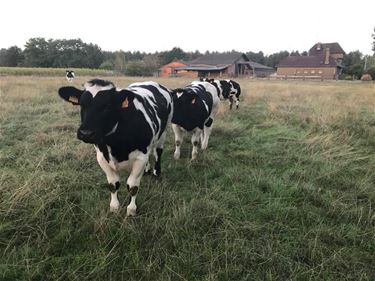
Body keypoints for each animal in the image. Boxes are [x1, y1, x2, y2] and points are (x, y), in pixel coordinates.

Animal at [57, 80, 173, 215]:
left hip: (164, 131)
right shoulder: (102, 158)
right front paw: (114, 207)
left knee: (158, 151)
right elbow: (113, 184)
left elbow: (133, 186)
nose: (86, 133)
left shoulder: (140, 158)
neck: (115, 143)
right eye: (82, 104)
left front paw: (131, 209)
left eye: (107, 106)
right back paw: (147, 170)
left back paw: (156, 172)